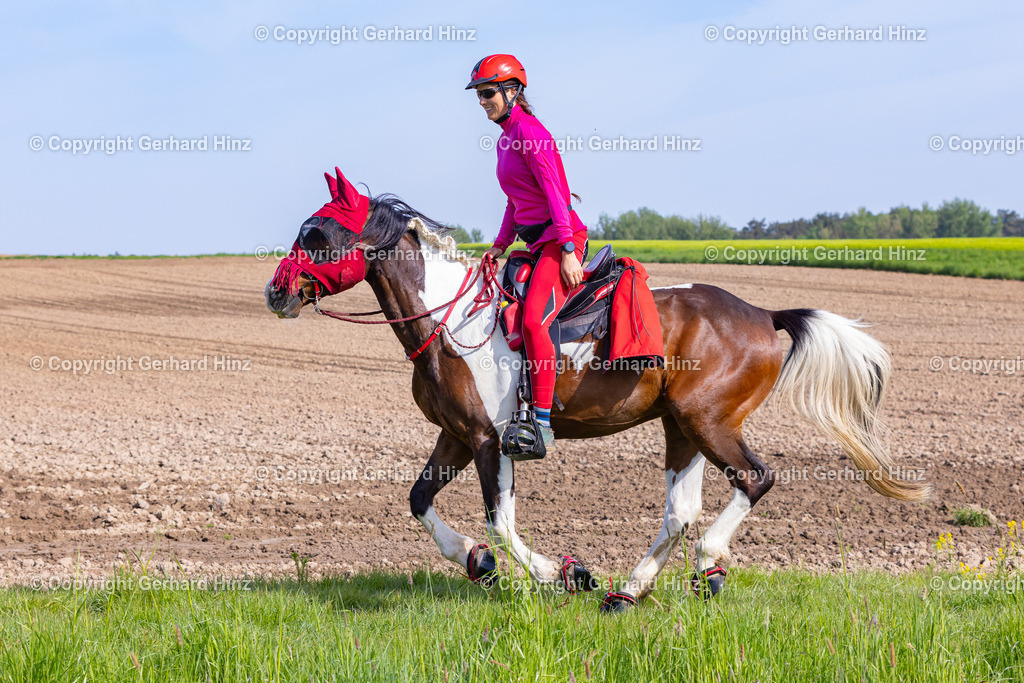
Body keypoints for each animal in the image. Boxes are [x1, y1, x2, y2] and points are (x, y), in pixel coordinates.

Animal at [264, 167, 929, 610]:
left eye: (318, 235)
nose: (276, 291)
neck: (450, 320)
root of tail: (766, 316)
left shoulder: (490, 439)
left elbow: (501, 522)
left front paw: (562, 574)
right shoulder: (455, 435)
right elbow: (421, 502)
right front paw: (479, 564)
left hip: (710, 422)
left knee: (754, 480)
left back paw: (704, 563)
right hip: (681, 428)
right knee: (680, 511)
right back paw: (630, 591)